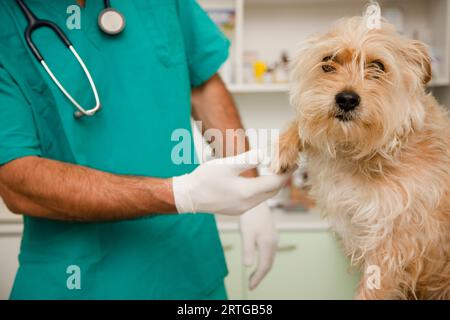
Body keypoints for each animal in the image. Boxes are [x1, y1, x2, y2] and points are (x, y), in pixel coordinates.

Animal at [272, 16, 450, 298]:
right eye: (328, 62)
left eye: (378, 66)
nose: (346, 99)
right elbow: (307, 122)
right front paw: (284, 147)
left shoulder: (393, 243)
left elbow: (373, 288)